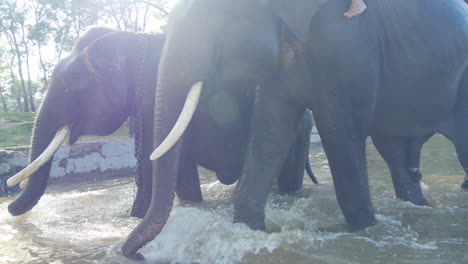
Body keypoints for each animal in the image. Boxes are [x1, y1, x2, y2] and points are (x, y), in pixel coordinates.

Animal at [4, 26, 318, 221]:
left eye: (69, 86)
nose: (9, 201)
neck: (130, 38)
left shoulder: (156, 94)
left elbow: (156, 159)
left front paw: (135, 217)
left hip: (297, 127)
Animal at [119, 0, 468, 258]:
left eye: (216, 19)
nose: (133, 254)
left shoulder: (348, 44)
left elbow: (340, 133)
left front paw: (366, 230)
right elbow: (270, 132)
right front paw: (246, 229)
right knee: (398, 156)